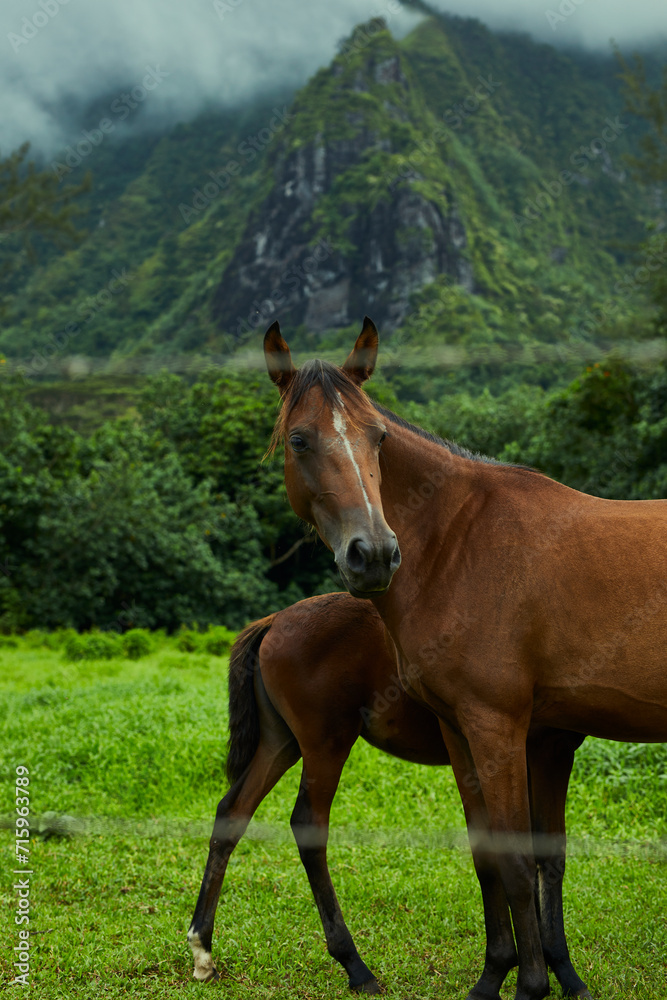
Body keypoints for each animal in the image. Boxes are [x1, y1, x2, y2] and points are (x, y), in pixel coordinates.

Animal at [188, 591, 586, 997]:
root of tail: (275, 620)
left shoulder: (532, 752)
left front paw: (555, 968)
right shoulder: (550, 748)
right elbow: (543, 854)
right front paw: (560, 971)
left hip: (279, 742)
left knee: (232, 811)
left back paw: (203, 951)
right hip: (326, 744)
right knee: (307, 824)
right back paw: (355, 965)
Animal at [262, 317, 667, 1000]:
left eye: (377, 437)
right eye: (299, 438)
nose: (374, 554)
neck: (457, 541)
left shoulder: (500, 727)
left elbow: (518, 858)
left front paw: (531, 983)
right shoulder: (462, 729)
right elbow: (488, 855)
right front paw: (496, 976)